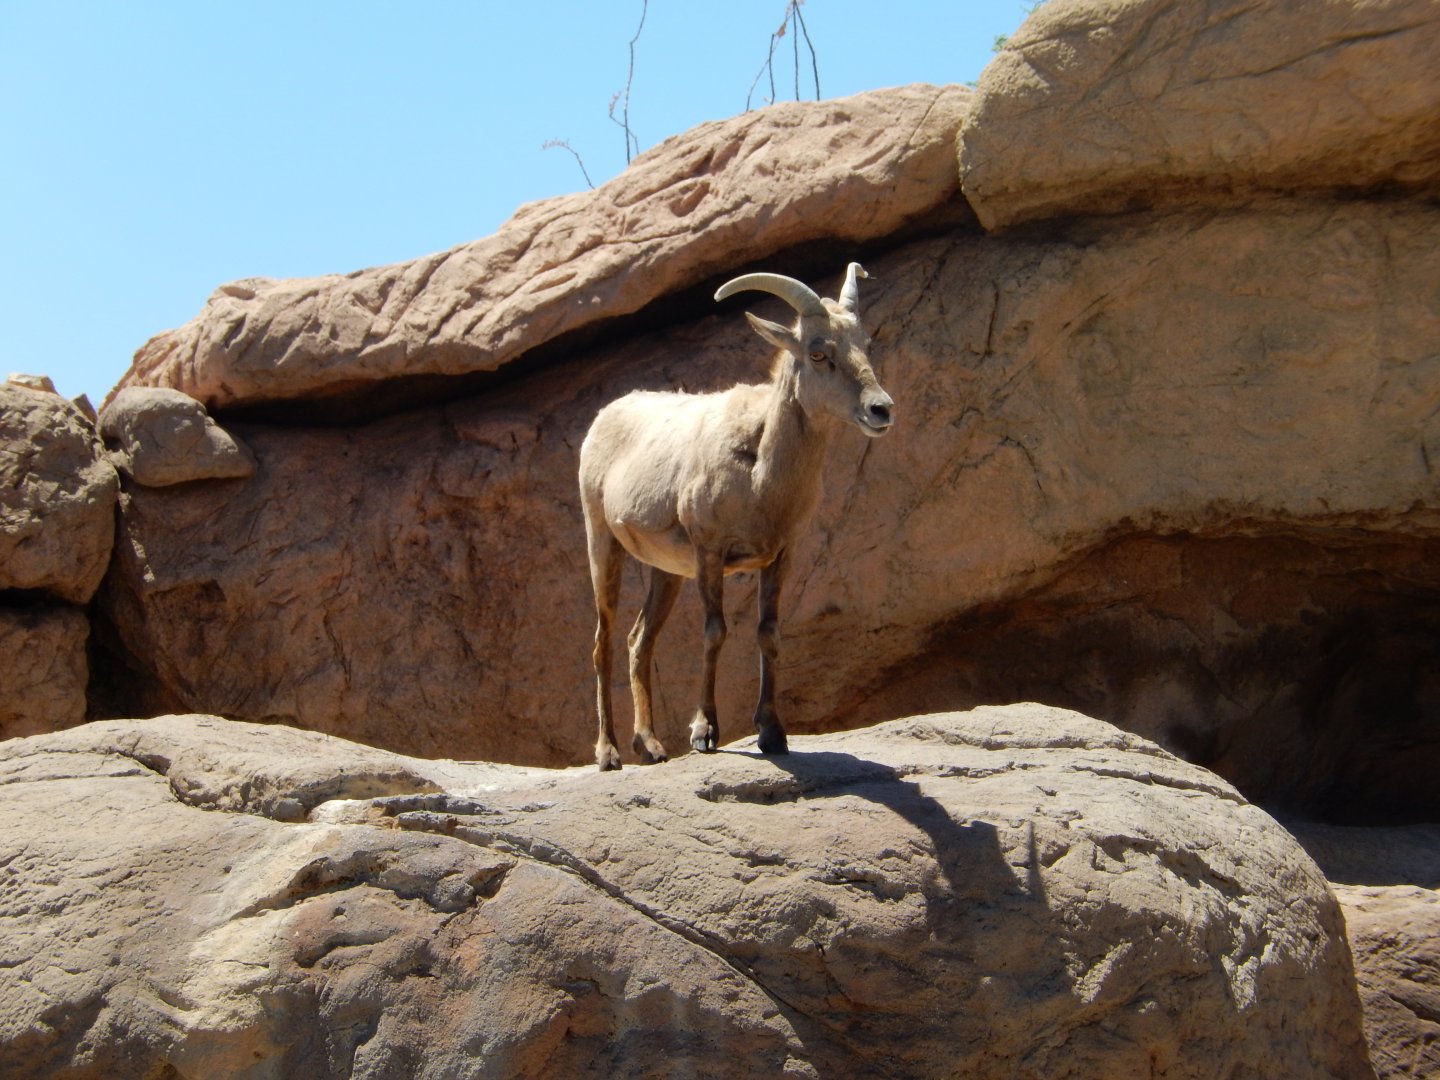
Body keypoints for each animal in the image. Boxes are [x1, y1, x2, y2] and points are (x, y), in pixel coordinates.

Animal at [578, 262, 894, 771]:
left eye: (864, 344)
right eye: (818, 351)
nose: (880, 409)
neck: (761, 475)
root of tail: (603, 420)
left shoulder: (780, 556)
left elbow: (768, 634)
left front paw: (772, 733)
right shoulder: (711, 552)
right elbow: (715, 632)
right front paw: (704, 732)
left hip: (666, 572)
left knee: (638, 640)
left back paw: (650, 746)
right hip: (602, 542)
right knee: (603, 642)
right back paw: (608, 754)